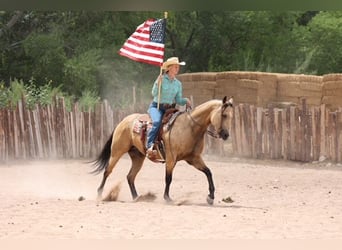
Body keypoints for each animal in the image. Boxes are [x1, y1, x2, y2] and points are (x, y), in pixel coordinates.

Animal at [91, 96, 234, 205]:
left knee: (130, 176)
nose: (226, 135)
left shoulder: (193, 158)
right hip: (117, 152)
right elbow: (168, 178)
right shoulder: (171, 158)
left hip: (138, 157)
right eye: (224, 115)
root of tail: (123, 122)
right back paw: (99, 195)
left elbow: (208, 172)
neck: (189, 127)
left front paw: (210, 197)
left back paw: (138, 198)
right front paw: (167, 198)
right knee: (107, 171)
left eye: (231, 116)